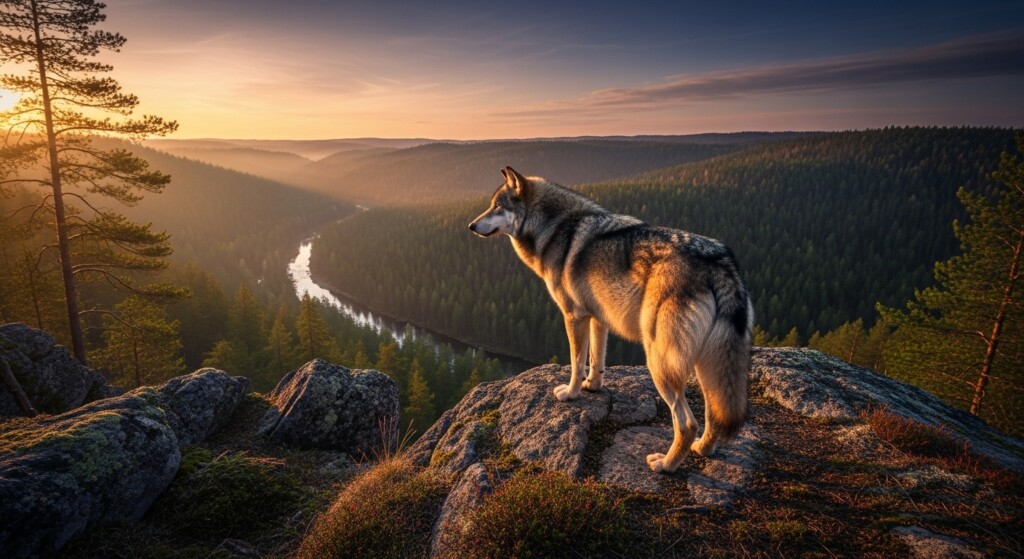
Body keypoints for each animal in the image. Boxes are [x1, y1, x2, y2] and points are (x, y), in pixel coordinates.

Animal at [468, 166, 753, 473]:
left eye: (498, 206)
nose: (471, 226)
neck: (554, 228)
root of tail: (720, 262)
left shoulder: (574, 316)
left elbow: (576, 362)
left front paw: (571, 393)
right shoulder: (598, 318)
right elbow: (596, 360)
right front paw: (593, 386)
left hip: (659, 361)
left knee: (687, 423)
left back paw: (665, 464)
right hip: (706, 364)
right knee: (714, 412)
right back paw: (704, 448)